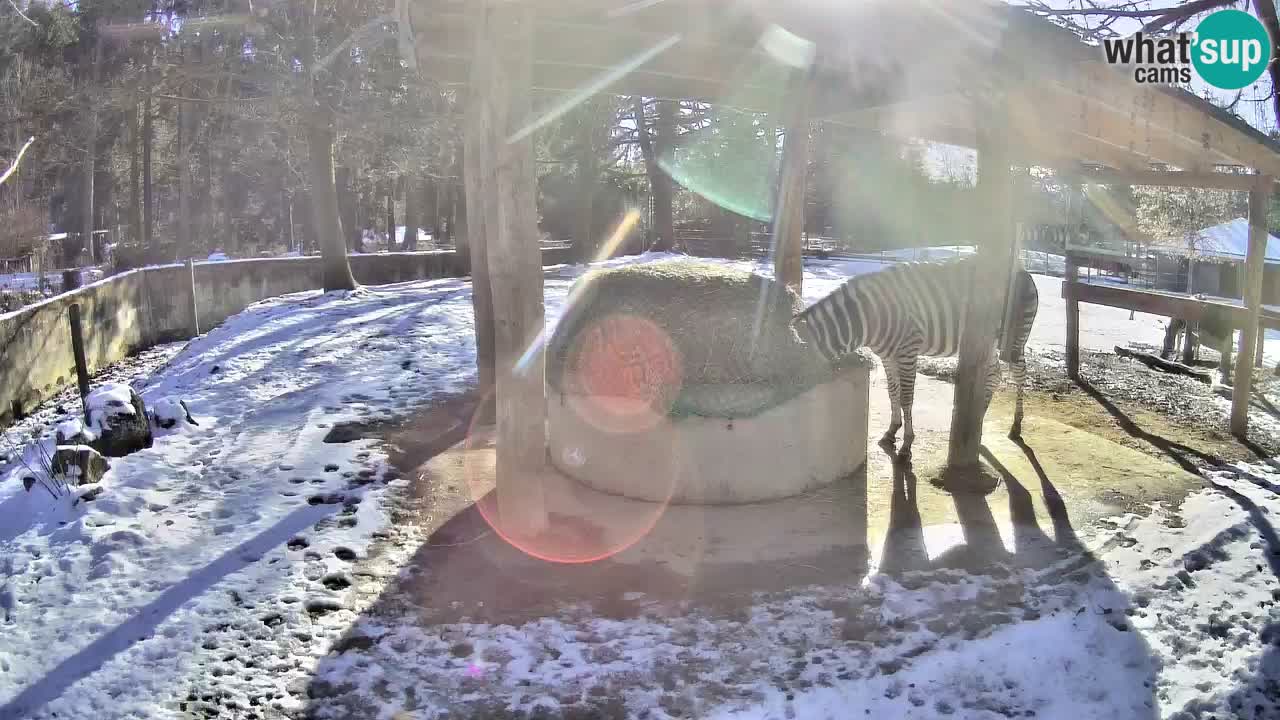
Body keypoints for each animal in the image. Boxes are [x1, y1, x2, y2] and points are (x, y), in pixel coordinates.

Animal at [798, 254, 1039, 450]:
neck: (868, 319)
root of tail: (1022, 269)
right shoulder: (887, 356)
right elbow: (892, 392)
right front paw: (892, 430)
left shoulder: (908, 351)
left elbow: (906, 397)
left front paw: (907, 444)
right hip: (987, 342)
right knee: (994, 373)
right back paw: (979, 416)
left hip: (1015, 337)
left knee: (1020, 374)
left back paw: (1016, 426)